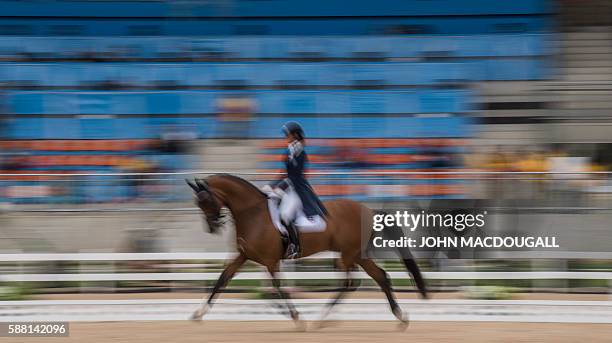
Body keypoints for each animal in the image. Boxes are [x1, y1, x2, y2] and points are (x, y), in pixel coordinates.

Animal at [184, 176, 428, 330]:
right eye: (198, 202)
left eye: (205, 200)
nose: (213, 227)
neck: (252, 212)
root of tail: (368, 210)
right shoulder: (244, 257)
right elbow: (222, 279)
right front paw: (198, 313)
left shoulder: (271, 261)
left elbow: (278, 289)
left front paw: (296, 317)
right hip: (354, 255)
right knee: (370, 279)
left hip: (350, 255)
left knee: (359, 281)